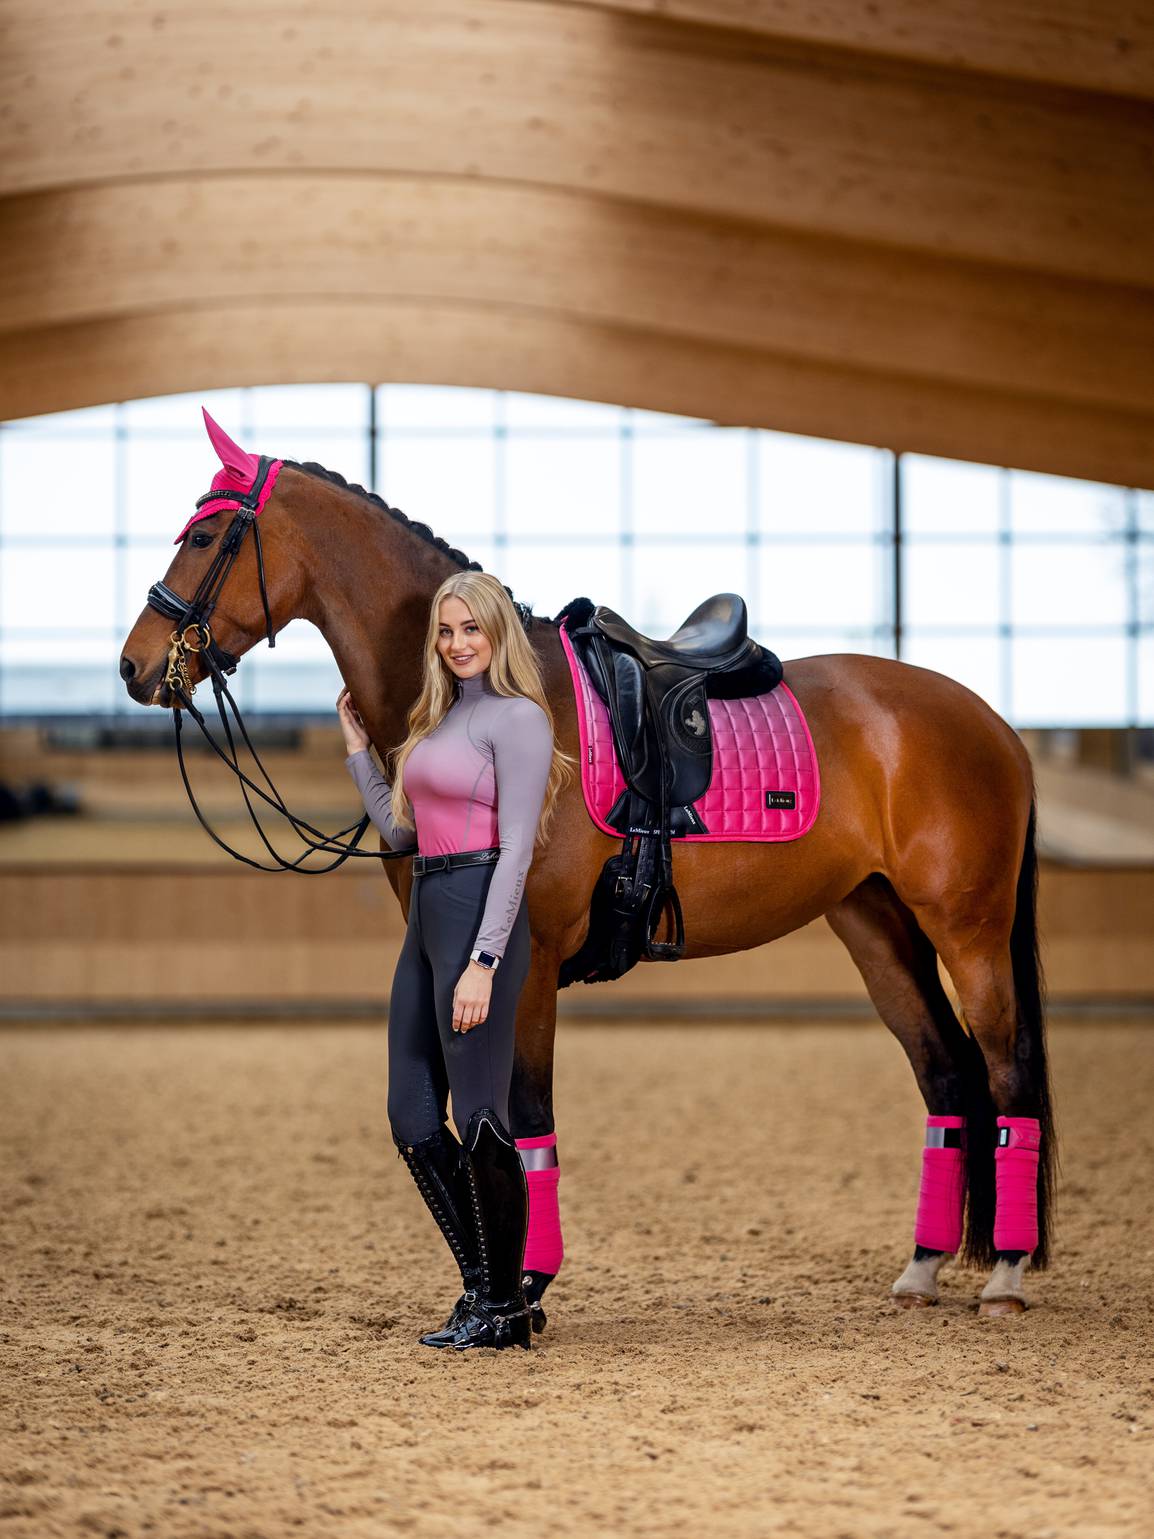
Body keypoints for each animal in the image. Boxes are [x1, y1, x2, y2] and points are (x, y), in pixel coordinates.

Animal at [119, 439, 1056, 1321]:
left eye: (204, 536)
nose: (133, 665)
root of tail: (994, 725)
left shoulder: (524, 960)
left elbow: (525, 1118)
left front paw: (524, 1286)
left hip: (967, 929)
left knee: (1006, 1071)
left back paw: (1006, 1274)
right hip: (876, 925)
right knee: (946, 1074)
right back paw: (923, 1267)